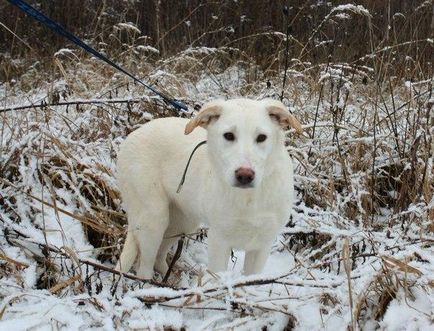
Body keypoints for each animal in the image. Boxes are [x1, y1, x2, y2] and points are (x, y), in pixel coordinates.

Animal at [115, 99, 302, 280]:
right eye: (228, 135)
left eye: (262, 137)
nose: (245, 175)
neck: (248, 198)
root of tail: (133, 134)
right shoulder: (219, 241)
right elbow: (217, 280)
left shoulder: (261, 246)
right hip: (153, 219)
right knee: (144, 267)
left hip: (183, 221)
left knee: (159, 257)